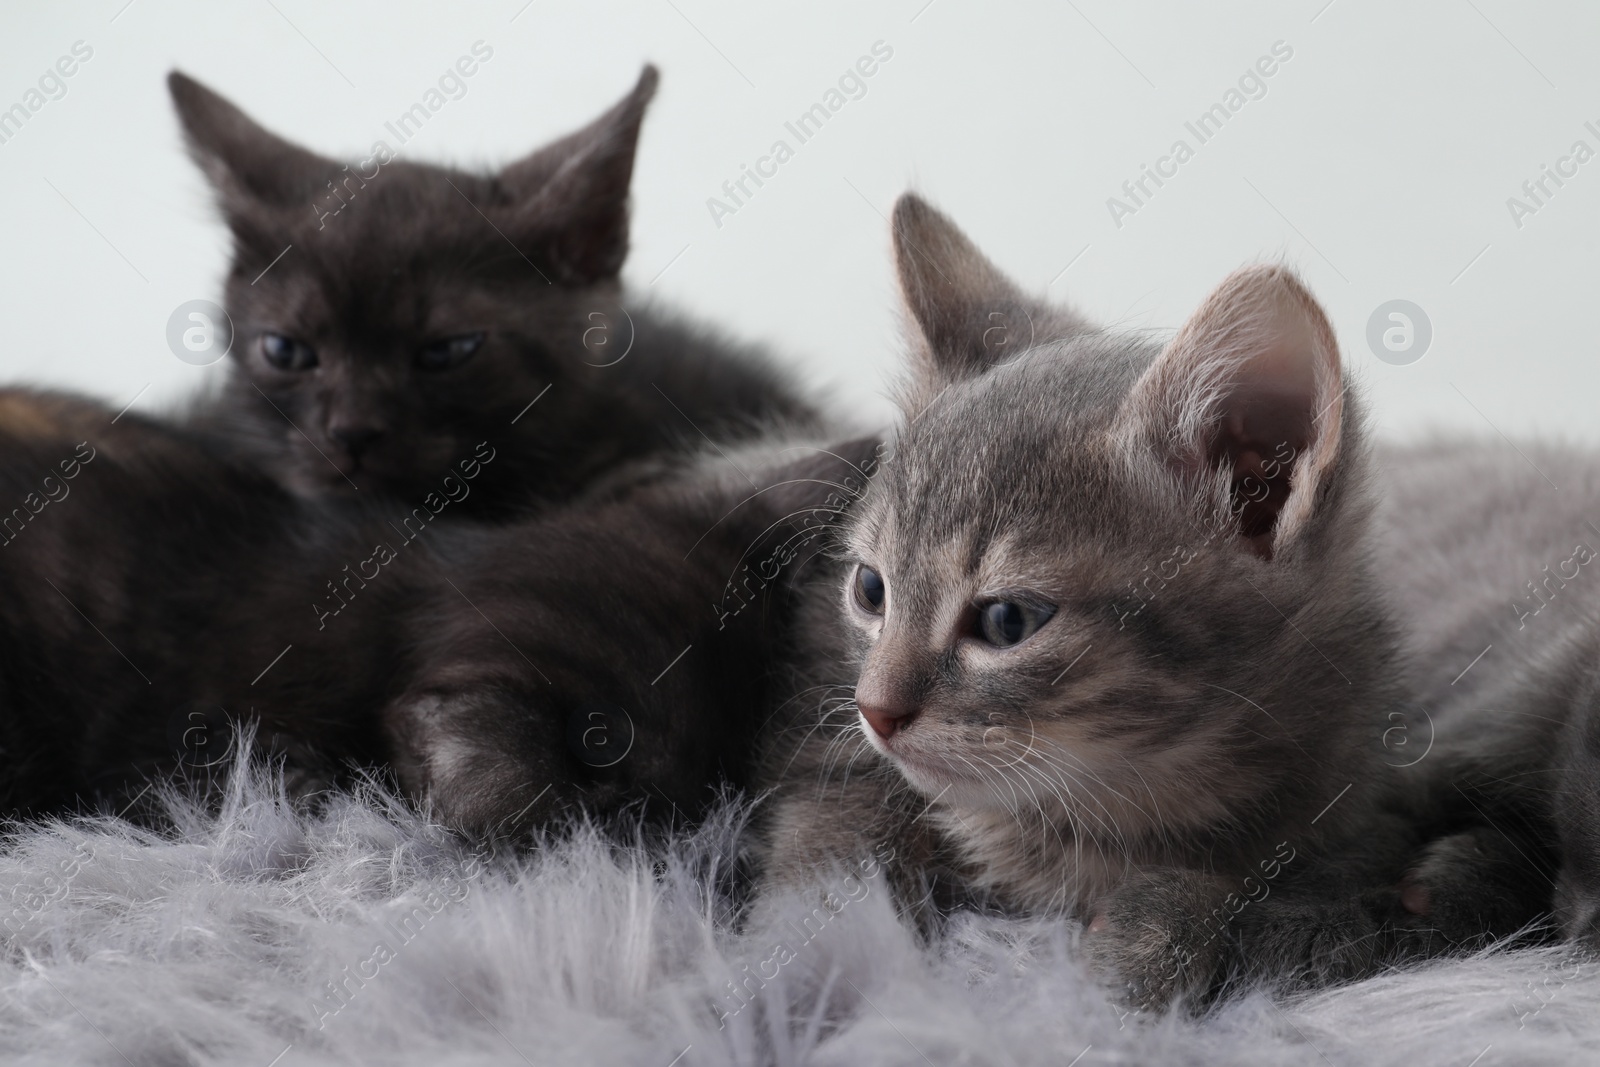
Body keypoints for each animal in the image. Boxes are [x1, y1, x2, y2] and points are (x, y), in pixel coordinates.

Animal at [755, 194, 1529, 1011]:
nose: (873, 710)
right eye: (871, 589)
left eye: (1006, 621)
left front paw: (1157, 940)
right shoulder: (826, 754)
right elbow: (829, 867)